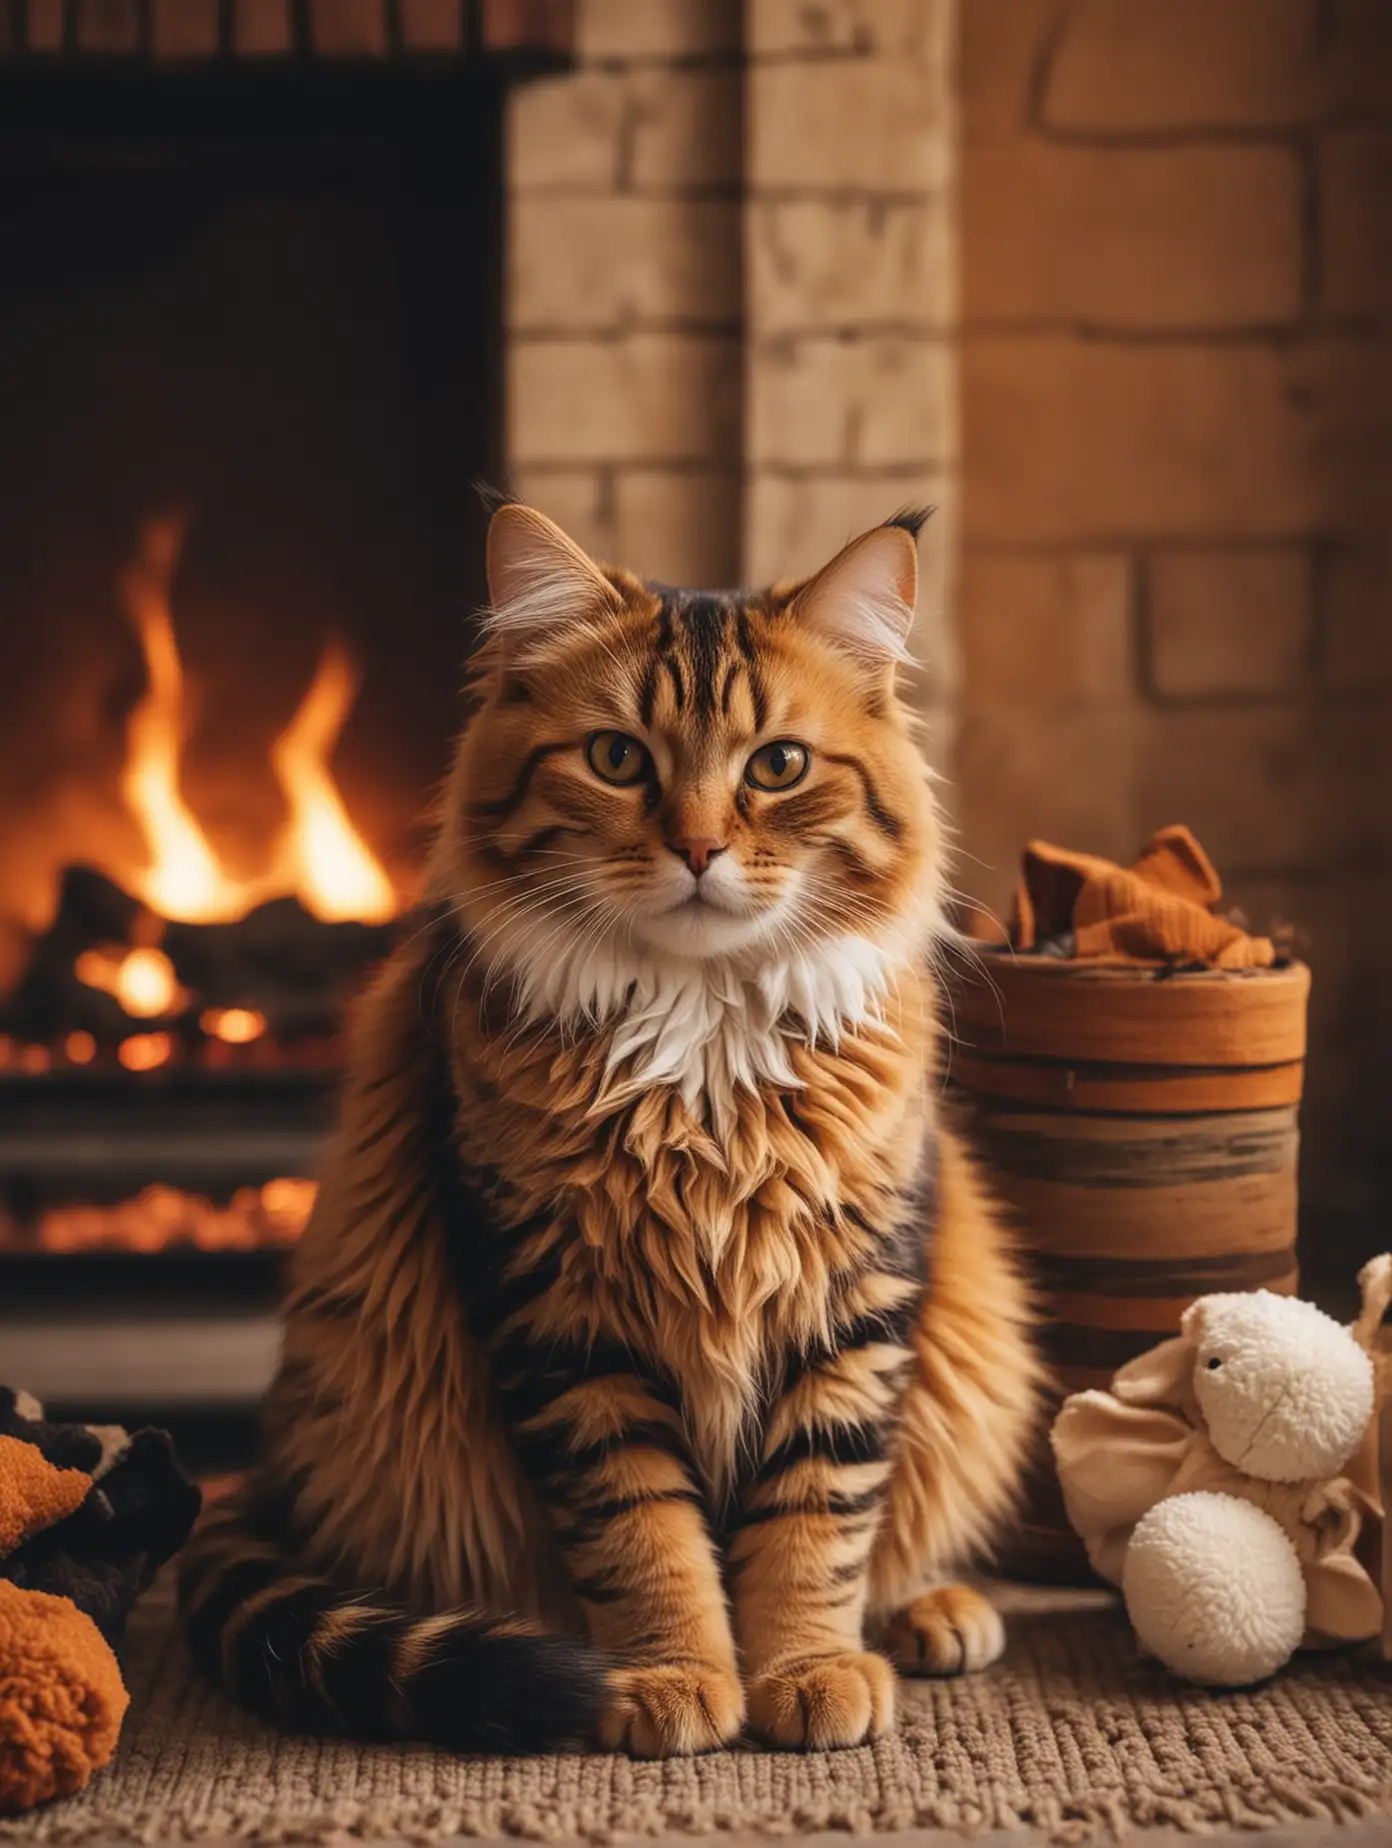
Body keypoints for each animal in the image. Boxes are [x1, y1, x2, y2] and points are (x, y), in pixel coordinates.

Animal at [179, 498, 1035, 1751]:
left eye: (777, 767)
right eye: (618, 759)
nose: (699, 849)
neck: (705, 1050)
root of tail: (277, 1473)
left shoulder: (855, 1293)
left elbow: (816, 1516)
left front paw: (807, 1669)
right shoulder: (562, 1314)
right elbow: (642, 1531)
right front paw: (669, 1678)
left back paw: (934, 1615)